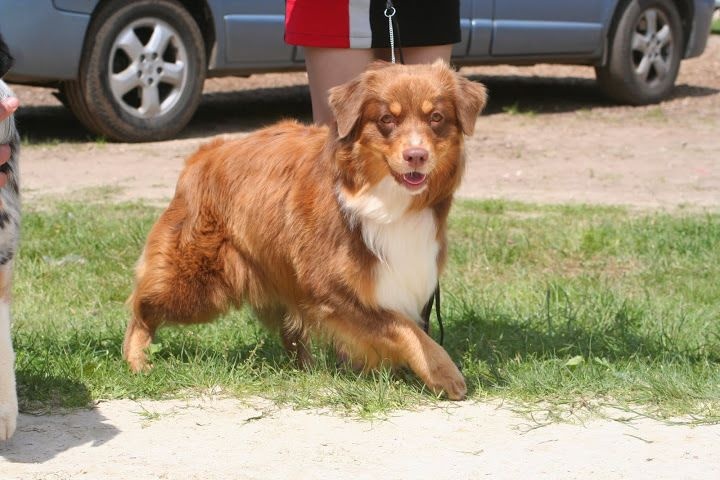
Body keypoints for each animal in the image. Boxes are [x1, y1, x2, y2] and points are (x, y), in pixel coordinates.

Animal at [123, 60, 486, 399]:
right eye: (386, 120)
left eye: (436, 117)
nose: (416, 155)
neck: (384, 198)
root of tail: (204, 153)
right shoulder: (332, 288)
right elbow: (404, 327)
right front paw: (443, 372)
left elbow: (405, 326)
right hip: (195, 283)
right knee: (140, 306)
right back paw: (136, 360)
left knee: (290, 329)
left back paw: (306, 370)